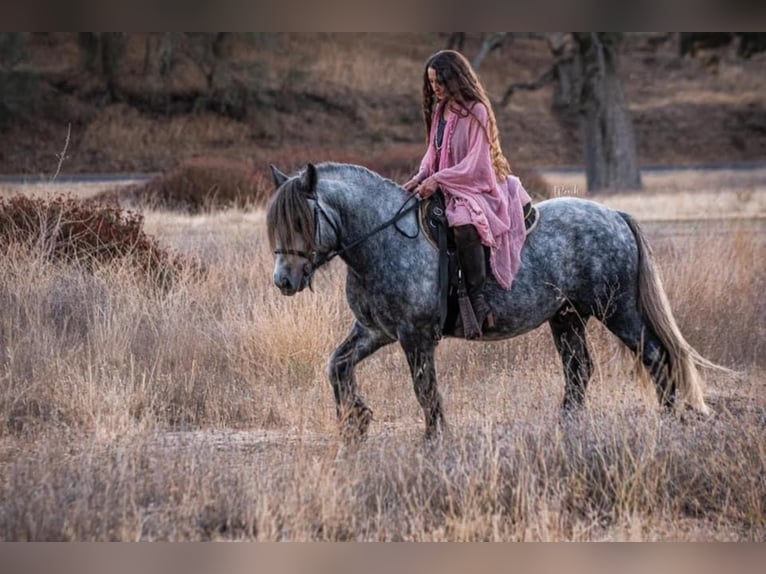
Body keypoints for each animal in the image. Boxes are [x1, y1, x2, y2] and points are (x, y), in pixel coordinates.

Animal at [266, 164, 720, 444]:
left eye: (303, 221)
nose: (284, 281)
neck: (384, 240)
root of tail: (614, 216)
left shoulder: (415, 336)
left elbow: (425, 389)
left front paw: (433, 439)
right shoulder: (375, 331)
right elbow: (338, 364)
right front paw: (355, 421)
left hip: (618, 309)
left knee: (655, 355)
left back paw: (667, 421)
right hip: (567, 317)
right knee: (579, 371)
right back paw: (566, 428)